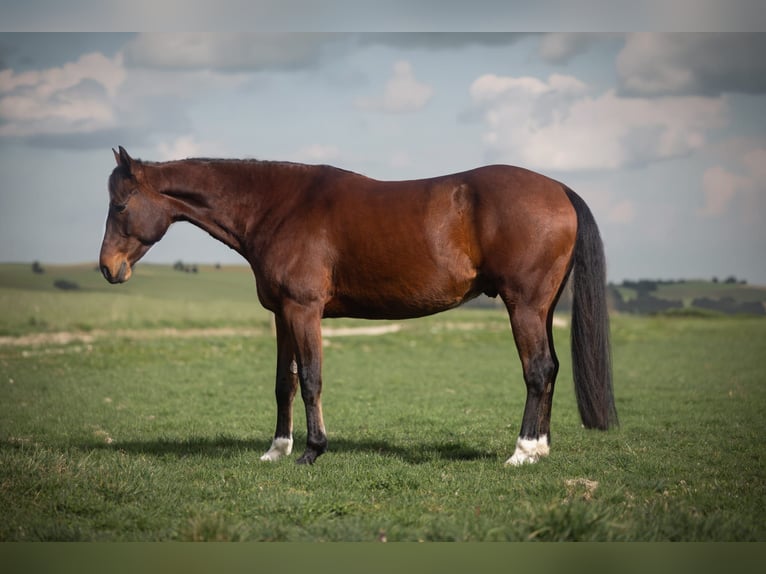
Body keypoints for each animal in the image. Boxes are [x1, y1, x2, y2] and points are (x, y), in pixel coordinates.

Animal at [99, 146, 617, 466]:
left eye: (120, 205)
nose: (108, 268)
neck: (278, 207)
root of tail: (559, 190)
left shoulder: (304, 311)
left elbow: (311, 380)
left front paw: (312, 450)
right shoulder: (282, 315)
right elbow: (284, 383)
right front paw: (276, 450)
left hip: (523, 305)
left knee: (537, 370)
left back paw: (522, 451)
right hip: (541, 308)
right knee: (549, 369)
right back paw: (540, 448)